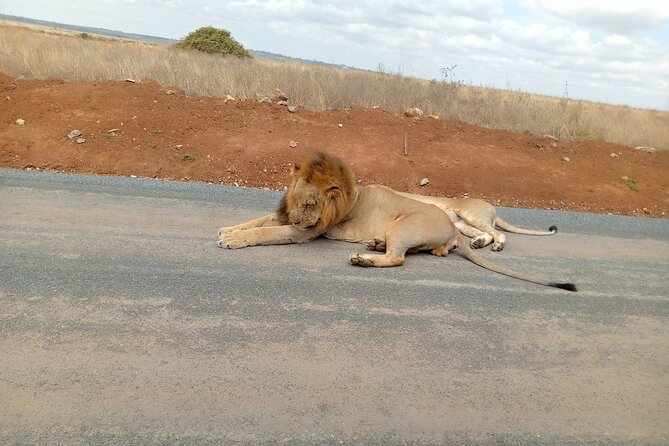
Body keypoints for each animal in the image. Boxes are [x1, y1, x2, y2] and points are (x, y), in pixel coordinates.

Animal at [218, 152, 576, 292]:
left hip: (402, 224)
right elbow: (259, 220)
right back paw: (373, 246)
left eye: (310, 204)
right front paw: (228, 229)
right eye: (294, 200)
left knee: (398, 258)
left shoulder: (303, 232)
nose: (295, 215)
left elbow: (266, 232)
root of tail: (451, 228)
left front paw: (232, 240)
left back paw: (364, 258)